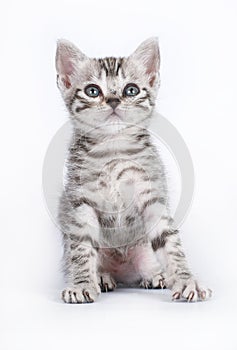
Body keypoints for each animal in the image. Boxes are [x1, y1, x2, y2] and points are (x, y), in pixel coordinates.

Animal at [55, 37, 211, 302]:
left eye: (131, 90)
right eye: (92, 91)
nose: (114, 100)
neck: (113, 151)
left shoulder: (152, 197)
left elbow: (171, 243)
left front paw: (185, 280)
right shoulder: (81, 201)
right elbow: (82, 248)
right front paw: (81, 284)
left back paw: (157, 276)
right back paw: (102, 277)